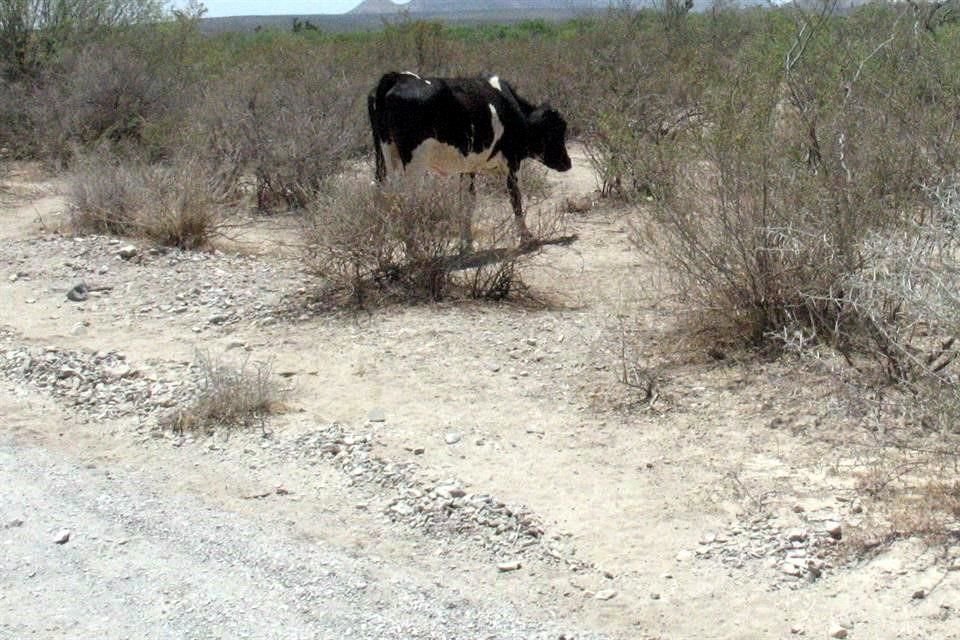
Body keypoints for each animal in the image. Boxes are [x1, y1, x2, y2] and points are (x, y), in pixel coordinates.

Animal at [364, 71, 568, 246]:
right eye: (556, 131)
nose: (568, 163)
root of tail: (398, 77)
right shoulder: (511, 162)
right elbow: (515, 198)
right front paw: (526, 237)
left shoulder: (468, 167)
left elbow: (467, 201)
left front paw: (466, 241)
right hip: (414, 164)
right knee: (405, 199)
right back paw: (412, 250)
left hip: (382, 157)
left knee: (379, 191)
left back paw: (378, 243)